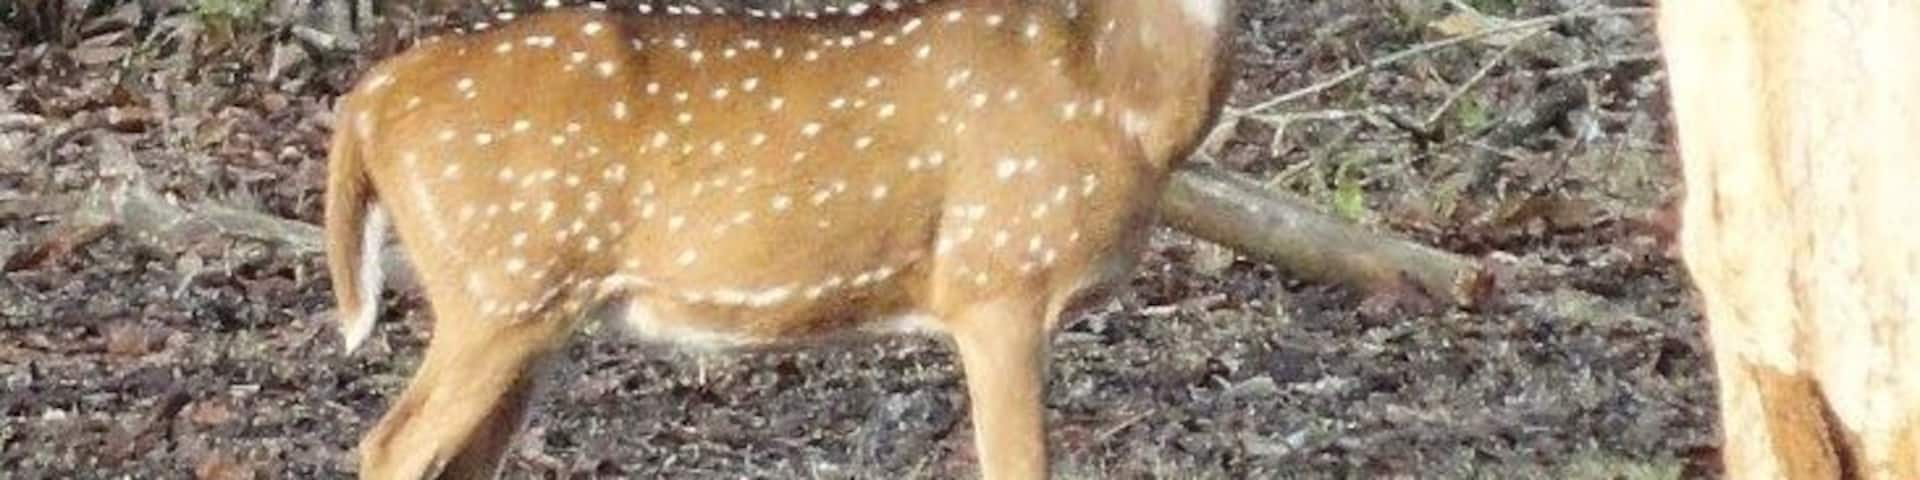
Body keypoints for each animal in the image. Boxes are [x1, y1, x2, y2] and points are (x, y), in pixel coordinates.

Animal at [323, 0, 1238, 478]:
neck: (1125, 105)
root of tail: (369, 99)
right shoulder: (998, 279)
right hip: (502, 284)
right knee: (389, 443)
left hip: (524, 309)